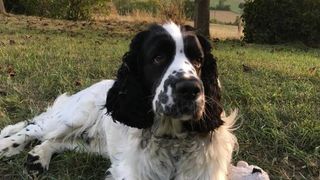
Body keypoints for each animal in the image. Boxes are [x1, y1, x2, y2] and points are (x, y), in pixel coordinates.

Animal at [0, 21, 268, 179]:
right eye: (158, 57)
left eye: (198, 60)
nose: (190, 89)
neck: (172, 141)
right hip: (75, 116)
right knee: (34, 129)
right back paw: (8, 146)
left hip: (93, 142)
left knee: (58, 141)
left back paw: (38, 157)